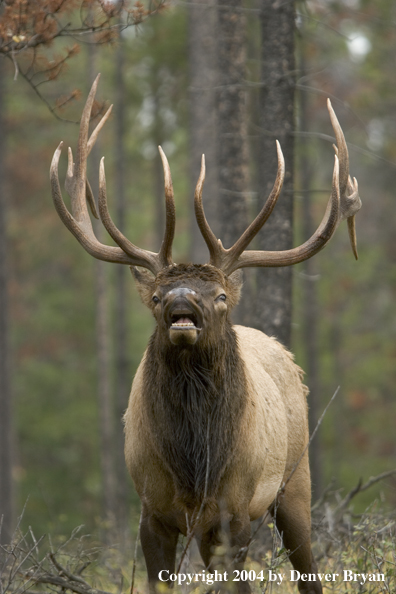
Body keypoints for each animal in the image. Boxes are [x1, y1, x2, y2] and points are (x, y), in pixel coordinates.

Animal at [50, 75, 362, 592]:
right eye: (157, 297)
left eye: (218, 296)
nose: (182, 301)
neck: (196, 467)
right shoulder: (151, 510)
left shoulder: (234, 513)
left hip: (295, 482)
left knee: (308, 569)